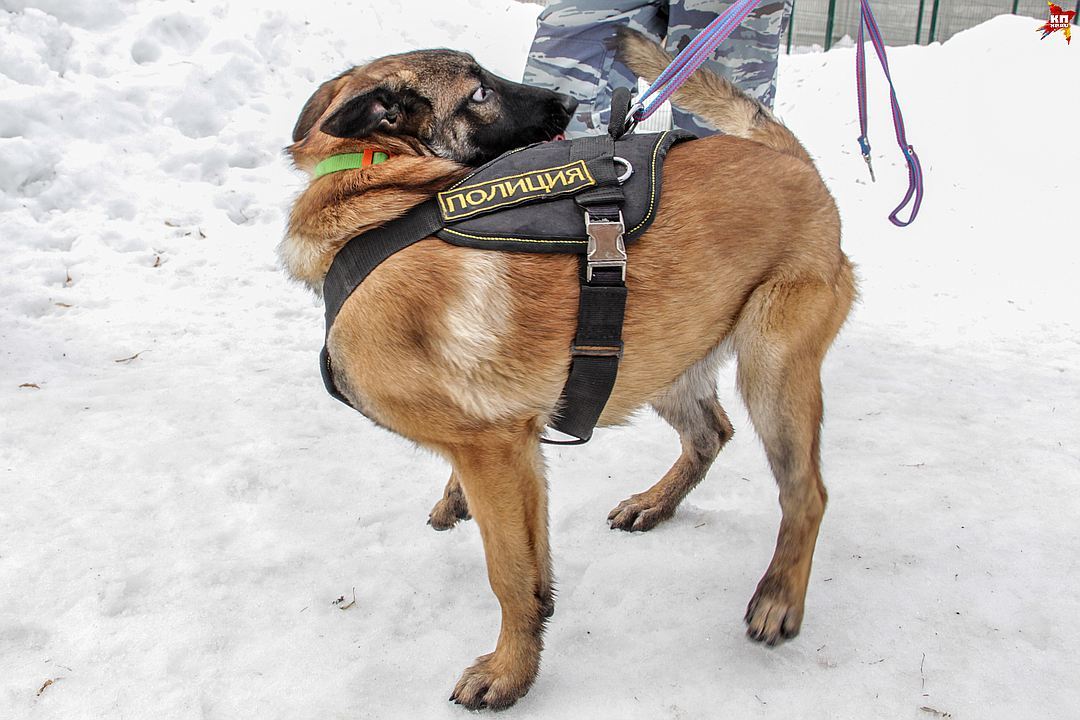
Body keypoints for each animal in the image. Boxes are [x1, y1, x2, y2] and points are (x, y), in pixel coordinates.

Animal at [282, 32, 855, 708]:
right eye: (479, 93)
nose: (568, 101)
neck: (373, 183)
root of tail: (790, 158)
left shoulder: (495, 450)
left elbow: (512, 576)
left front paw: (510, 672)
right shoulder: (515, 451)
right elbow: (528, 565)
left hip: (771, 367)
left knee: (806, 494)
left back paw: (778, 597)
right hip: (658, 351)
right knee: (711, 433)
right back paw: (655, 504)